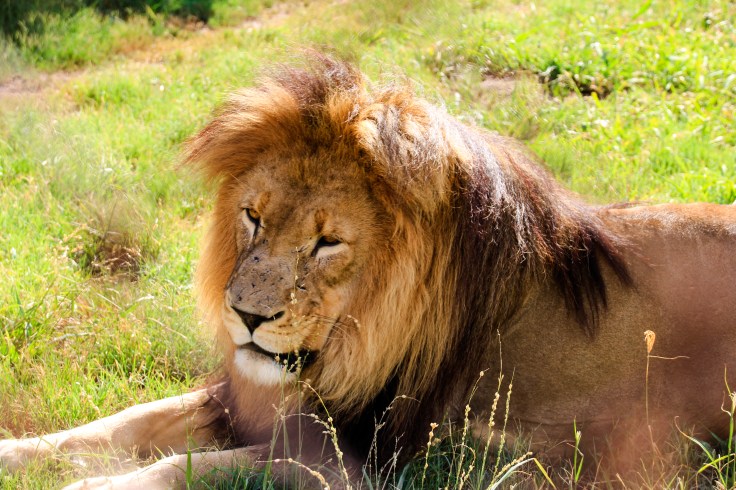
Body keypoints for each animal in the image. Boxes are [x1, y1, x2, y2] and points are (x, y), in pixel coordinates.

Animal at [1, 53, 736, 488]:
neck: (353, 340)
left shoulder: (364, 457)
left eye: (328, 242)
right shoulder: (257, 399)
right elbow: (125, 423)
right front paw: (17, 454)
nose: (245, 316)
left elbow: (187, 469)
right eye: (253, 217)